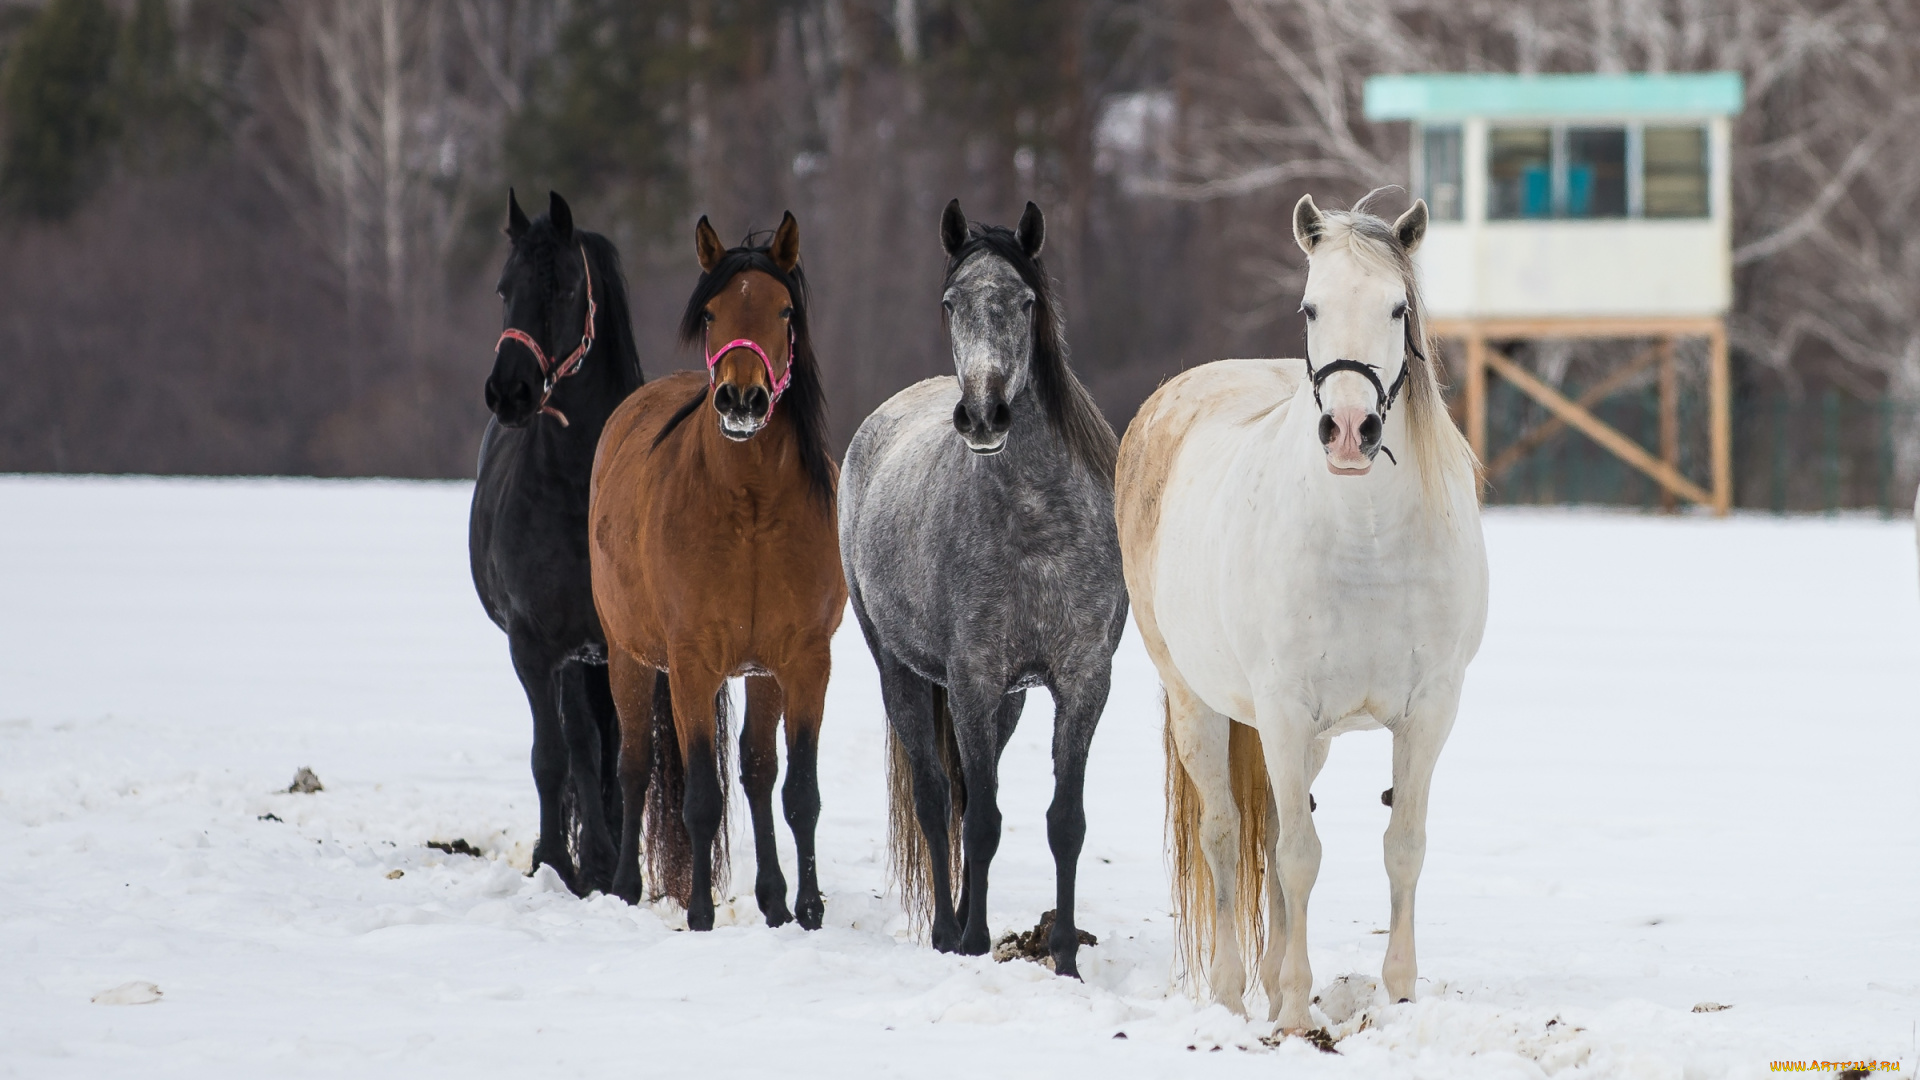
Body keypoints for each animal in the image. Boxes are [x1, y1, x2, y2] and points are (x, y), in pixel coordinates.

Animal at [468, 191, 648, 891]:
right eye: (503, 288)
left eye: (567, 287)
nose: (510, 391)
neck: (578, 490)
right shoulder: (535, 643)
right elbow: (555, 756)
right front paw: (557, 861)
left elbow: (628, 759)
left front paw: (622, 873)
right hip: (574, 659)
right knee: (580, 745)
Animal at [587, 210, 844, 926]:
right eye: (709, 313)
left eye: (784, 311)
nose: (741, 399)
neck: (751, 509)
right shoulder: (693, 662)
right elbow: (700, 793)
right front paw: (700, 913)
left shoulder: (804, 661)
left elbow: (799, 790)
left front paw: (807, 909)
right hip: (630, 657)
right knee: (635, 766)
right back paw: (624, 886)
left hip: (758, 674)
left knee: (756, 771)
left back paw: (774, 901)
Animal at [837, 197, 1121, 972]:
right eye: (950, 303)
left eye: (1025, 302)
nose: (985, 414)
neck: (1039, 527)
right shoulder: (970, 678)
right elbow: (982, 821)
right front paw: (970, 943)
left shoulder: (1081, 681)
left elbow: (1066, 821)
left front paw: (1065, 960)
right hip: (901, 671)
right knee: (940, 800)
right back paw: (945, 930)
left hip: (1008, 702)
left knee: (965, 794)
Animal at [1121, 195, 1489, 1037]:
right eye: (1310, 307)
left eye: (1397, 308)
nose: (1351, 431)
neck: (1367, 538)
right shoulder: (1285, 712)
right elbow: (1295, 855)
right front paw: (1291, 1014)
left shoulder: (1430, 711)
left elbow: (1401, 845)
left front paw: (1399, 994)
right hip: (1198, 704)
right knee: (1229, 838)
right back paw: (1233, 994)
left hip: (1304, 739)